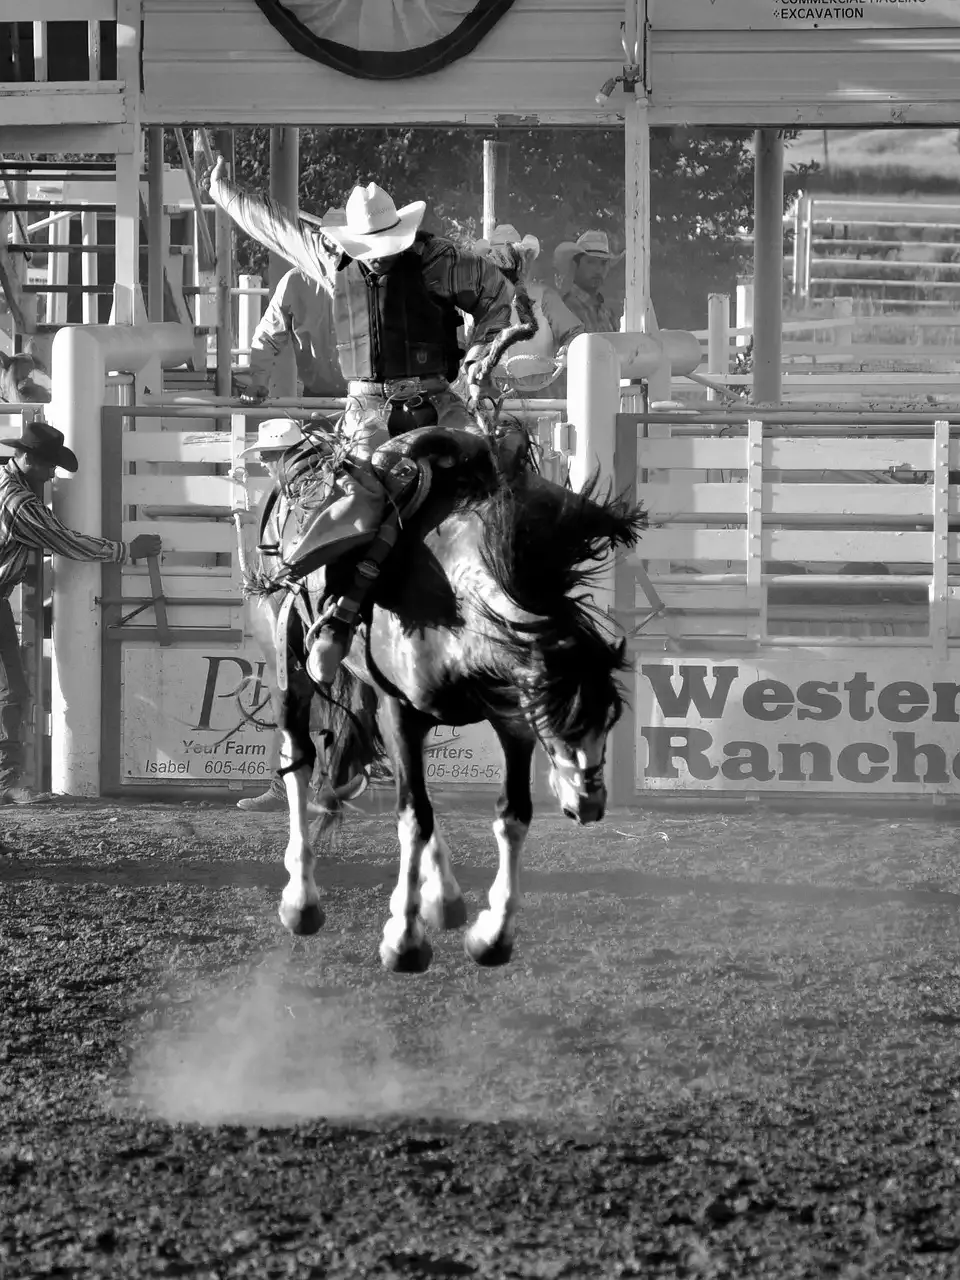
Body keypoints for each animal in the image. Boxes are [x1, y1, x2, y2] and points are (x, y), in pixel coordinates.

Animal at [245, 294, 647, 967]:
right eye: (563, 717)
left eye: (608, 716)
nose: (590, 806)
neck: (460, 605)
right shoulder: (399, 709)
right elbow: (415, 814)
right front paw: (404, 939)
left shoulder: (509, 718)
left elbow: (511, 815)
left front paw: (491, 933)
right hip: (292, 665)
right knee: (299, 761)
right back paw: (301, 899)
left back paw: (447, 899)